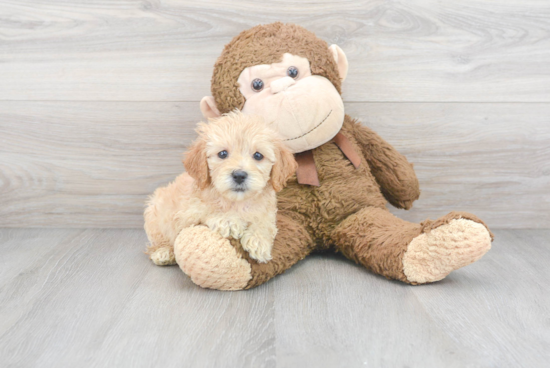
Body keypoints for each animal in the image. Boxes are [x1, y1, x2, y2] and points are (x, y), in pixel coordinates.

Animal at [142, 110, 298, 266]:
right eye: (223, 154)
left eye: (258, 155)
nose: (239, 175)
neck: (237, 202)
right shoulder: (184, 214)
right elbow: (205, 210)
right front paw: (227, 220)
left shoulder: (267, 212)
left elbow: (266, 223)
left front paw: (259, 240)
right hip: (154, 215)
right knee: (158, 240)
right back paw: (163, 252)